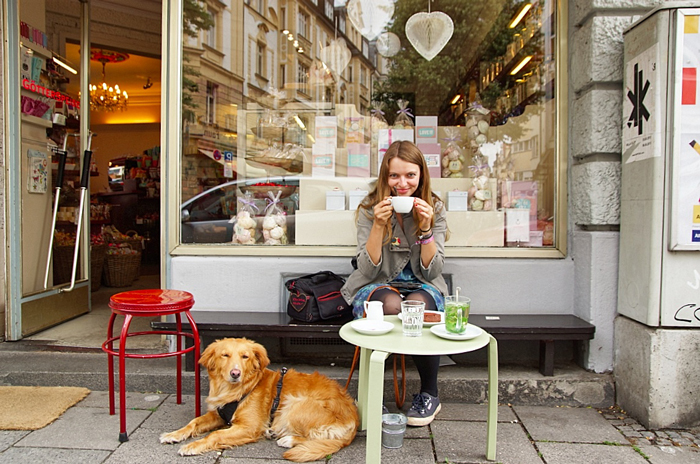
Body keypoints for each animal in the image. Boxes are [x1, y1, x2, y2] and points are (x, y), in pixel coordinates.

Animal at [159, 338, 358, 460]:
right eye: (225, 355)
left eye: (245, 356)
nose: (235, 373)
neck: (239, 388)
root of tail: (354, 419)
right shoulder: (219, 414)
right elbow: (193, 422)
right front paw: (173, 434)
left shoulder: (249, 427)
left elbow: (215, 435)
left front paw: (192, 446)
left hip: (294, 404)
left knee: (319, 437)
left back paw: (287, 439)